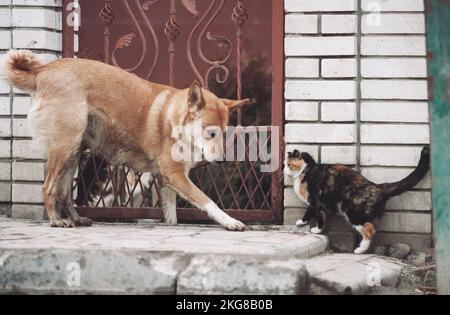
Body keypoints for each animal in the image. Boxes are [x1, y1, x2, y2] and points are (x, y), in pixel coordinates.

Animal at [1, 50, 251, 231]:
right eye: (211, 133)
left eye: (225, 133)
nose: (222, 160)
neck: (176, 121)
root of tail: (43, 70)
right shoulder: (176, 176)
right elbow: (208, 201)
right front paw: (230, 221)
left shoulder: (167, 181)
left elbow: (171, 216)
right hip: (64, 148)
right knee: (49, 187)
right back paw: (56, 220)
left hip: (73, 153)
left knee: (63, 192)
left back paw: (76, 219)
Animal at [284, 147, 428, 256]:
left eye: (288, 164)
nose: (283, 170)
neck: (306, 170)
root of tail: (378, 186)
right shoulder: (317, 204)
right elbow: (314, 214)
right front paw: (302, 223)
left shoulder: (315, 202)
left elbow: (317, 216)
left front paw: (315, 229)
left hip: (354, 214)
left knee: (370, 230)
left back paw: (360, 250)